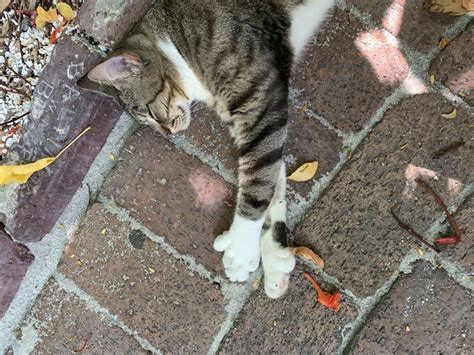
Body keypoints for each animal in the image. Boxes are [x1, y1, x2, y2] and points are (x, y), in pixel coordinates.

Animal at [78, 0, 336, 298]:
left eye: (150, 114)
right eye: (149, 123)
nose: (167, 133)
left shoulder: (261, 105)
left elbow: (259, 180)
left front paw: (241, 247)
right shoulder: (250, 121)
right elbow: (273, 178)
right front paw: (274, 259)